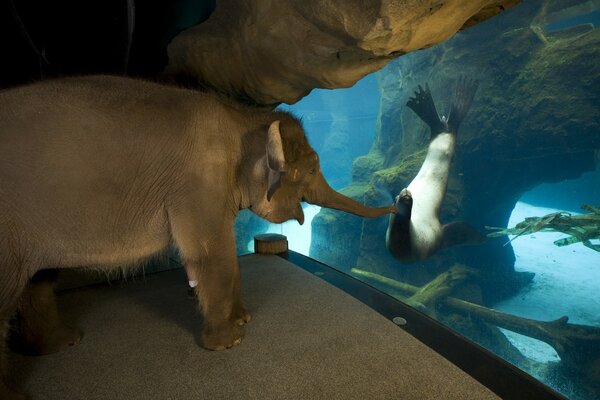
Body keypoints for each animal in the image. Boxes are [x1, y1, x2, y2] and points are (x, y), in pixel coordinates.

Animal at [0, 75, 394, 396]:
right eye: (312, 169)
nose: (396, 204)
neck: (243, 117)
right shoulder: (197, 182)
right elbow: (212, 252)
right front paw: (229, 342)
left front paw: (243, 319)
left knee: (38, 280)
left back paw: (63, 343)